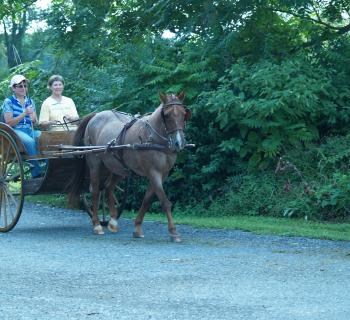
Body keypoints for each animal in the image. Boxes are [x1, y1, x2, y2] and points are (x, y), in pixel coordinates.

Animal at [68, 92, 191, 242]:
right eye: (166, 115)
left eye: (184, 113)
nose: (179, 142)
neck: (152, 138)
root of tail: (96, 115)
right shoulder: (153, 172)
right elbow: (165, 202)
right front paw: (173, 232)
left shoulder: (163, 174)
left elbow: (146, 201)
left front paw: (137, 228)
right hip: (95, 164)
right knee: (96, 191)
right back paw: (97, 225)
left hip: (118, 168)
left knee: (108, 188)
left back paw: (113, 222)